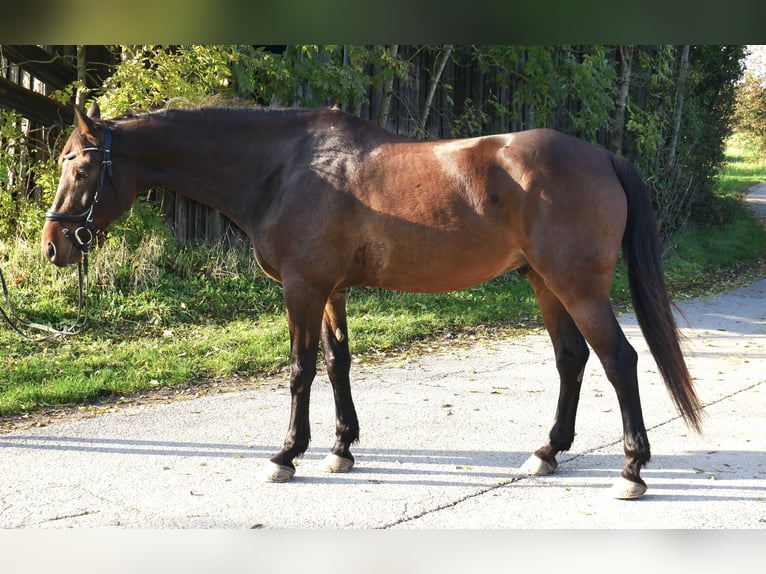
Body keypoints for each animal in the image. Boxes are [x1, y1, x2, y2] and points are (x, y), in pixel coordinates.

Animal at [40, 102, 704, 500]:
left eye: (79, 167)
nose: (52, 246)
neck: (283, 169)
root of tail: (603, 156)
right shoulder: (330, 290)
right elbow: (338, 364)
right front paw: (340, 449)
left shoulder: (303, 289)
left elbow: (300, 369)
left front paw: (287, 454)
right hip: (545, 284)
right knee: (572, 360)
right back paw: (546, 452)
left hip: (576, 286)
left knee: (619, 361)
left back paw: (631, 471)